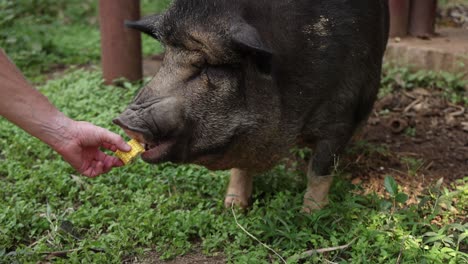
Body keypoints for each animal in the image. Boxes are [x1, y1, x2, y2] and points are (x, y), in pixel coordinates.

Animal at [114, 0, 392, 211]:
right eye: (165, 58)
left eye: (210, 66)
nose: (124, 120)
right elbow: (241, 167)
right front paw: (232, 208)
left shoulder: (339, 117)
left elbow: (319, 171)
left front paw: (310, 217)